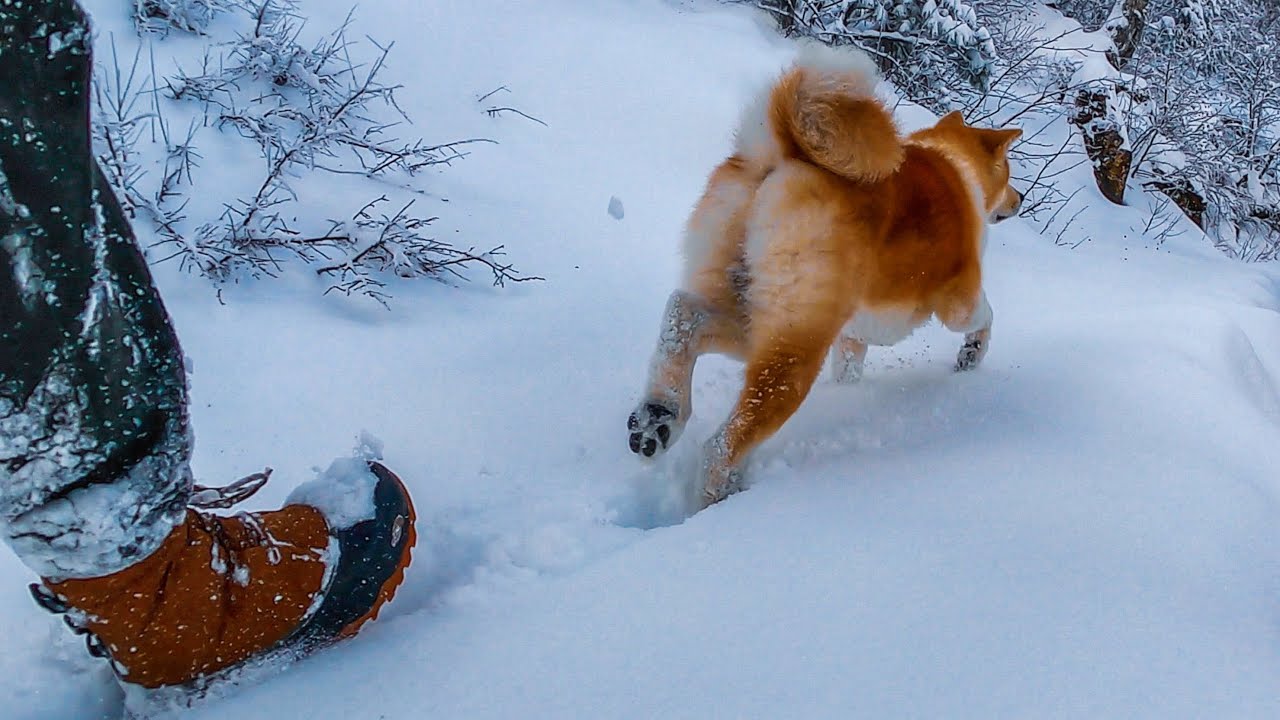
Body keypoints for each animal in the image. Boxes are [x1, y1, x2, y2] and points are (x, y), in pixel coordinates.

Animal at [624, 43, 1024, 504]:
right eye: (1010, 173)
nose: (1020, 199)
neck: (957, 166)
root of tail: (785, 154)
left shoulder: (853, 334)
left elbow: (850, 366)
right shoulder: (959, 298)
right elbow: (985, 316)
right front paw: (972, 356)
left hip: (758, 319)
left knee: (683, 316)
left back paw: (658, 417)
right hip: (796, 349)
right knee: (722, 446)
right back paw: (719, 494)